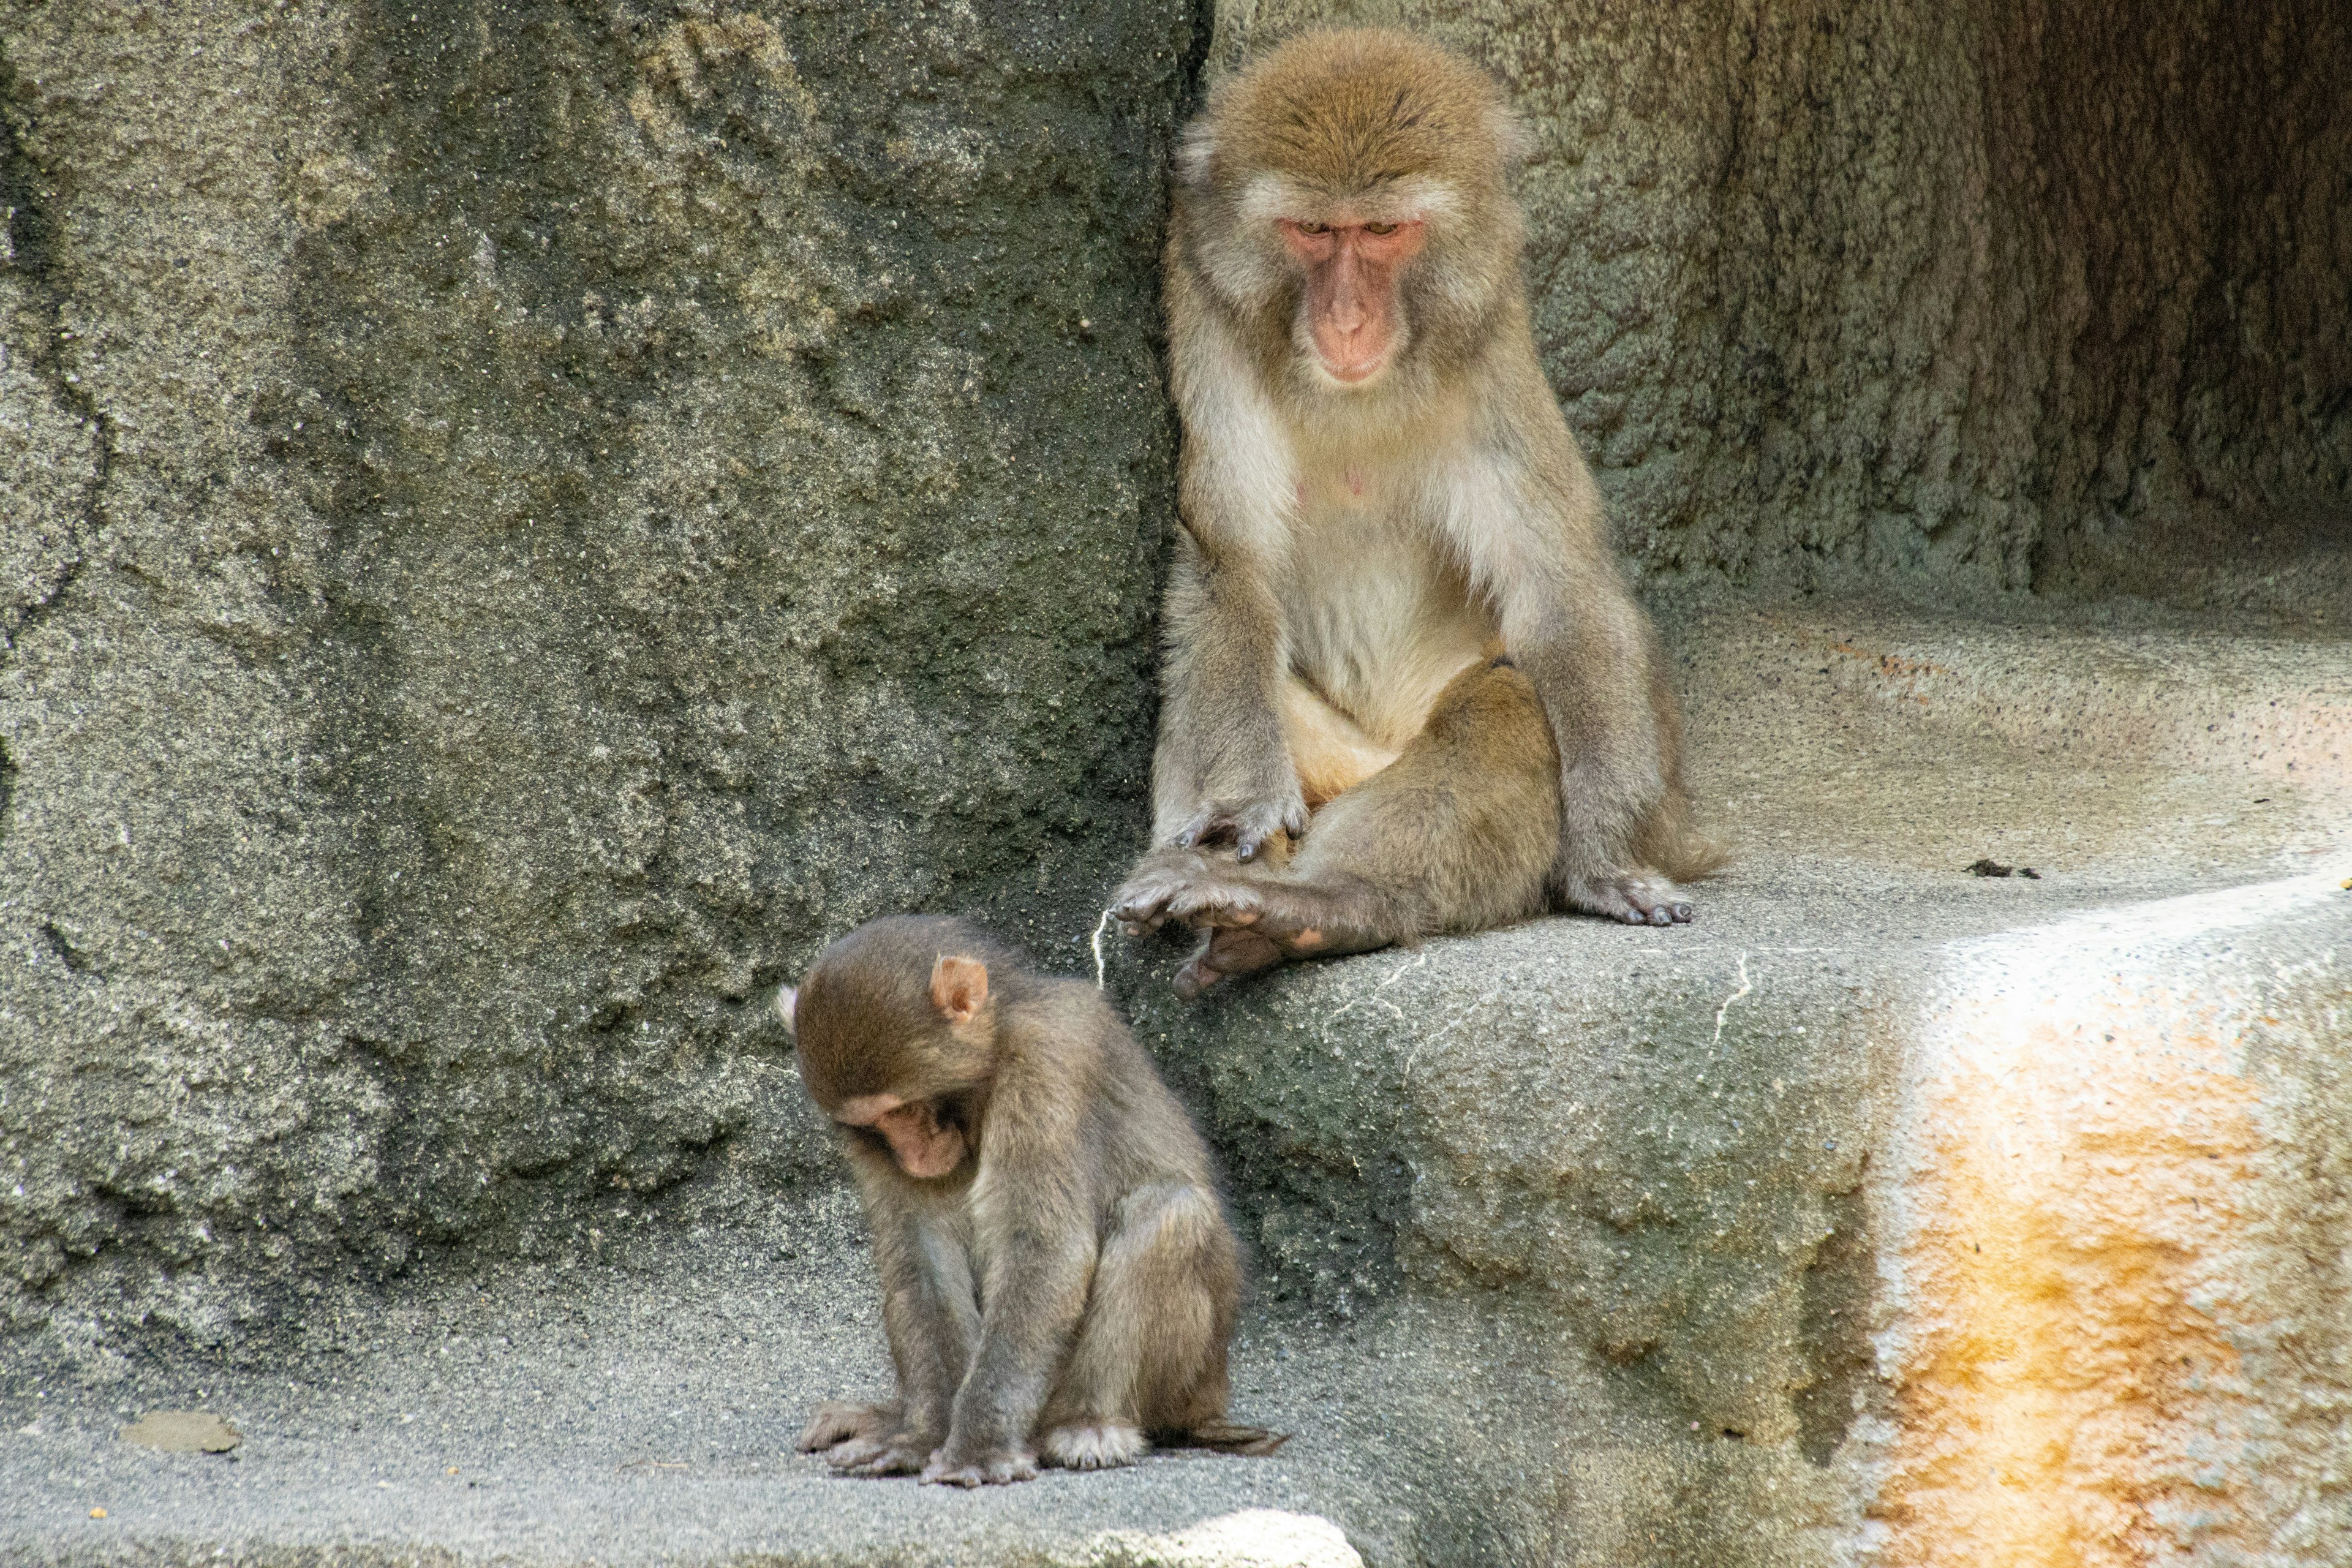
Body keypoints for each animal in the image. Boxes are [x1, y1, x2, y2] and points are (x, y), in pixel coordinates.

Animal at [776, 907, 1289, 1485]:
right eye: (875, 1125)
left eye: (903, 1108)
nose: (912, 1152)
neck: (998, 1040)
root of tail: (1211, 1400)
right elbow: (922, 1259)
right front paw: (920, 1434)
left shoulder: (1045, 1062)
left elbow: (1043, 1245)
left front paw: (977, 1446)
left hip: (1187, 1380)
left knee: (1169, 1211)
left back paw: (1089, 1424)